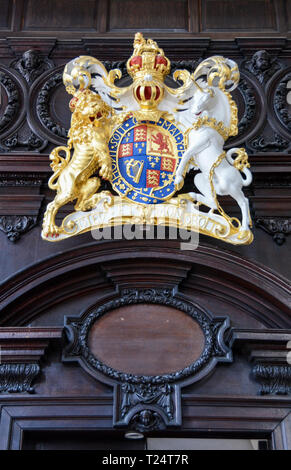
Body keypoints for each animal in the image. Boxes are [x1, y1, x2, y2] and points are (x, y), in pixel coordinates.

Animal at [42, 89, 113, 239]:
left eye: (93, 99)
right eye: (82, 106)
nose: (94, 106)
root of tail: (59, 181)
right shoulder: (97, 138)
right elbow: (104, 153)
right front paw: (107, 170)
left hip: (91, 182)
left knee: (78, 206)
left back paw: (96, 199)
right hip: (67, 191)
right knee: (51, 206)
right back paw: (50, 228)